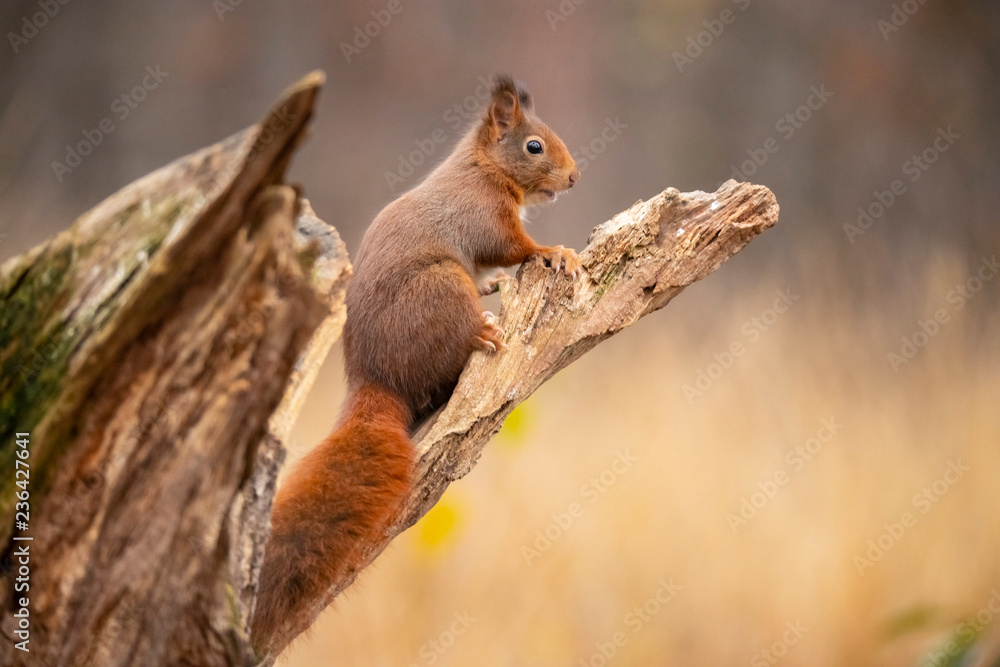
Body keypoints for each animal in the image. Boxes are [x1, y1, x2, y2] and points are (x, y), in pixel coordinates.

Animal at [248, 75, 580, 656]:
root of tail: (373, 377)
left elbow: (496, 266)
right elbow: (514, 247)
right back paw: (482, 332)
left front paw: (501, 281)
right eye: (534, 146)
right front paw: (556, 251)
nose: (575, 176)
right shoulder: (483, 216)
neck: (484, 167)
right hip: (442, 285)